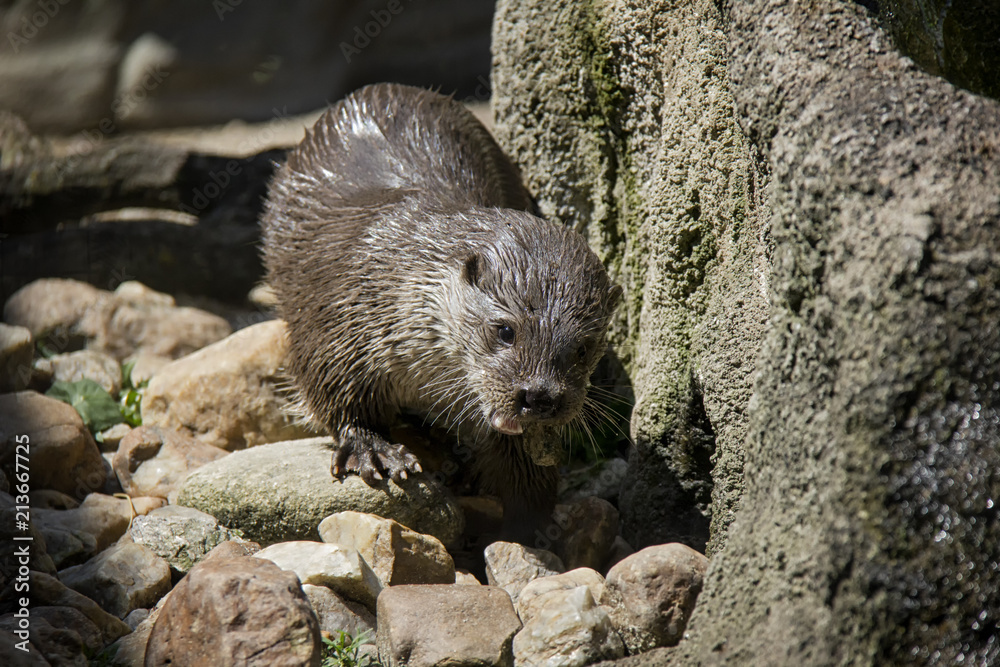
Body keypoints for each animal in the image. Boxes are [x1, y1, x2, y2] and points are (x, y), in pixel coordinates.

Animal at [261, 83, 621, 540]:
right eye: (505, 330)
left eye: (583, 348)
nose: (539, 395)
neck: (396, 276)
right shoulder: (339, 326)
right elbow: (333, 392)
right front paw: (373, 449)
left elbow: (522, 468)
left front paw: (532, 526)